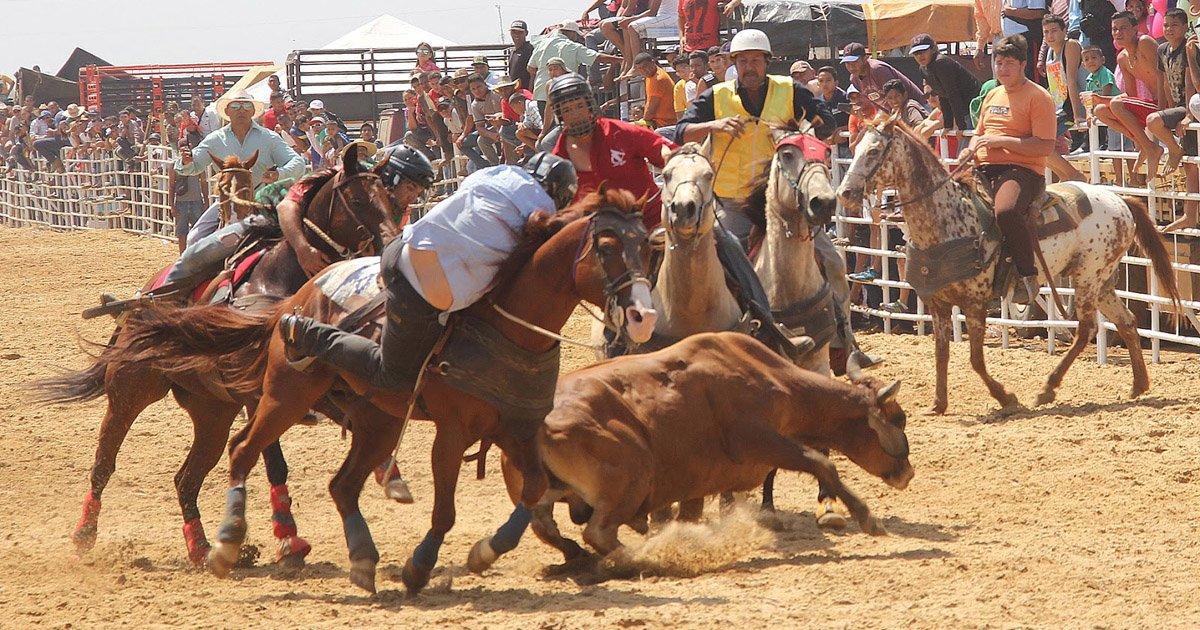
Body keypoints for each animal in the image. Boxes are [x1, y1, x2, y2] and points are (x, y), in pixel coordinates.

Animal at [31, 148, 398, 568]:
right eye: (356, 199)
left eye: (389, 198)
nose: (391, 243)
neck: (278, 281)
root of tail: (140, 303)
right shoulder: (260, 395)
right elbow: (274, 461)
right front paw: (289, 540)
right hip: (129, 393)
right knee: (104, 462)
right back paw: (85, 534)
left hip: (212, 411)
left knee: (186, 478)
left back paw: (201, 547)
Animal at [104, 187, 662, 595]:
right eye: (607, 247)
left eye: (648, 248)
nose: (643, 316)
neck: (508, 327)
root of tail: (293, 300)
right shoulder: (452, 433)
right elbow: (447, 510)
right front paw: (420, 566)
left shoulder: (518, 429)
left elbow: (533, 493)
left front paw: (489, 552)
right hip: (285, 396)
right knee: (243, 453)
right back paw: (225, 545)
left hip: (379, 418)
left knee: (341, 486)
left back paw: (362, 559)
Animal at [465, 331, 907, 566]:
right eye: (899, 419)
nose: (907, 471)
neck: (767, 374)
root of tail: (541, 424)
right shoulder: (757, 438)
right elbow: (818, 461)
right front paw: (869, 518)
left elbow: (692, 510)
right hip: (633, 473)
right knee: (598, 530)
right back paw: (639, 557)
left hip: (537, 489)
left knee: (545, 527)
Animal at [835, 115, 1180, 412]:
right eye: (856, 148)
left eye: (874, 151)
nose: (844, 192)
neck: (948, 219)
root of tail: (1121, 200)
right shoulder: (938, 303)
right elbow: (941, 354)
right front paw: (938, 403)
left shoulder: (975, 303)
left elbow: (975, 359)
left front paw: (1005, 398)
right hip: (1102, 280)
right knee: (1127, 322)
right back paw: (1138, 384)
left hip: (1087, 278)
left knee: (1086, 329)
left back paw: (1048, 388)